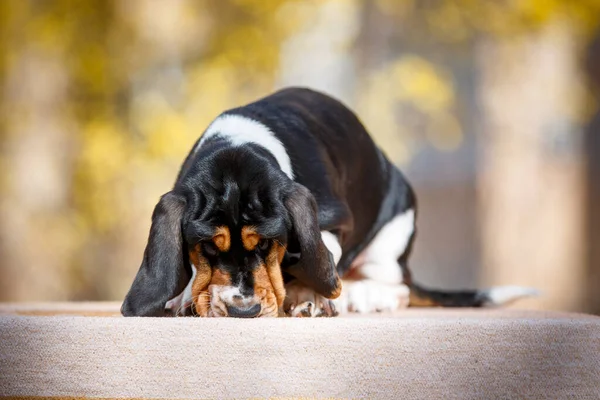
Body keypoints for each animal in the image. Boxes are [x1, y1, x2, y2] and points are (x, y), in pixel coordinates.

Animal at [120, 87, 536, 318]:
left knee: (395, 286)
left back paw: (364, 296)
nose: (243, 310)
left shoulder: (333, 223)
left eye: (267, 244)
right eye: (207, 246)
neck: (240, 141)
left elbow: (316, 258)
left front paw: (309, 297)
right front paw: (187, 294)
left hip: (394, 230)